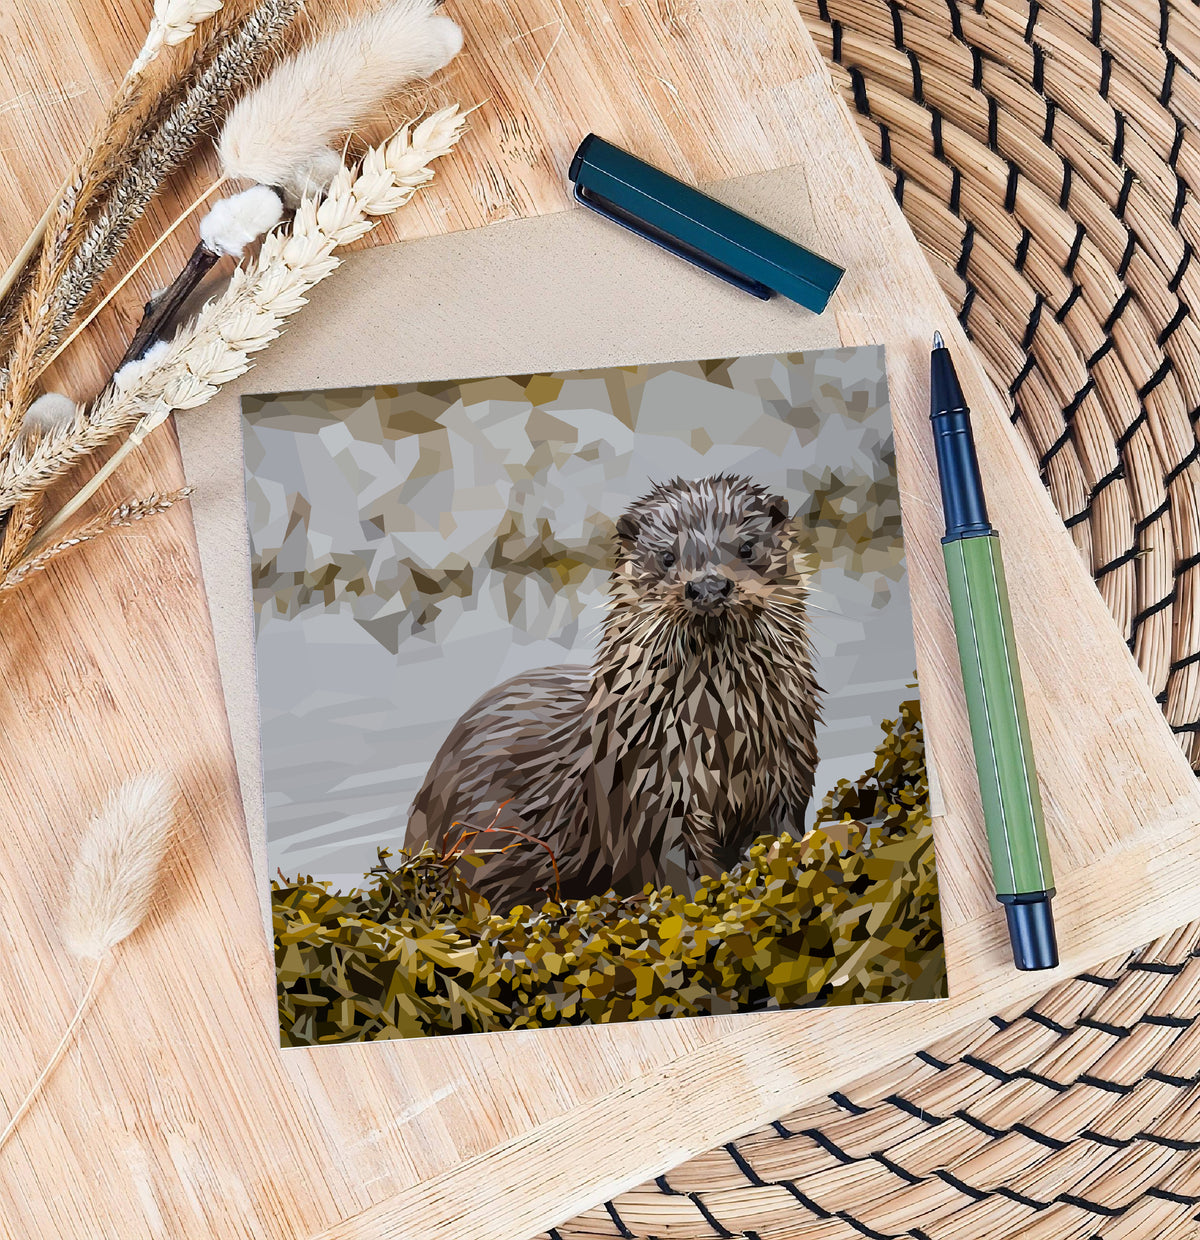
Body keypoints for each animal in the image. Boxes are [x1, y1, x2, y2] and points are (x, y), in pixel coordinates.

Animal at [404, 475, 822, 911]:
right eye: (666, 557)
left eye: (746, 547)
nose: (708, 586)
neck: (724, 735)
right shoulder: (651, 795)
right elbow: (674, 869)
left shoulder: (788, 773)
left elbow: (785, 830)